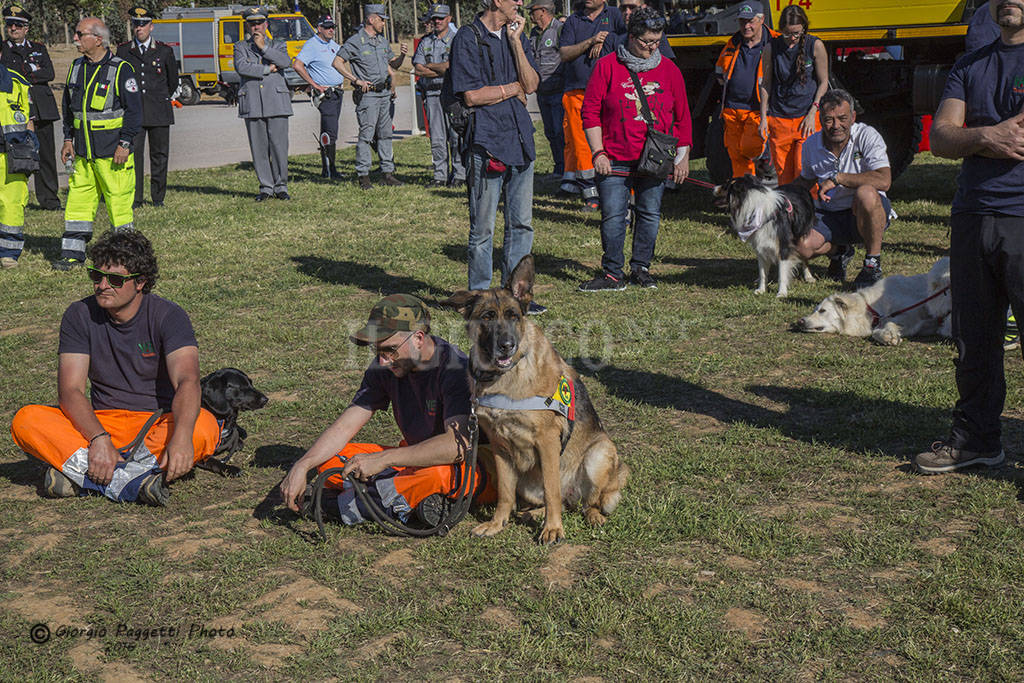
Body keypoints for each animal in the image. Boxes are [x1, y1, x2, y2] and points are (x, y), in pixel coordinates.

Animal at [444, 255, 626, 544]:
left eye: (513, 316)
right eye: (487, 317)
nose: (506, 345)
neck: (505, 377)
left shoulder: (547, 441)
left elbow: (552, 490)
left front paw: (553, 529)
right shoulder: (499, 446)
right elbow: (505, 493)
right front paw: (497, 524)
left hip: (599, 455)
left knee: (585, 501)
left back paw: (591, 516)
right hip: (528, 483)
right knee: (562, 502)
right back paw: (534, 513)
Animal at [794, 255, 954, 344]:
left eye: (822, 311)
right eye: (814, 310)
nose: (799, 321)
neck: (871, 309)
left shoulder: (916, 309)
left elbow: (888, 323)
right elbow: (877, 331)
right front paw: (887, 336)